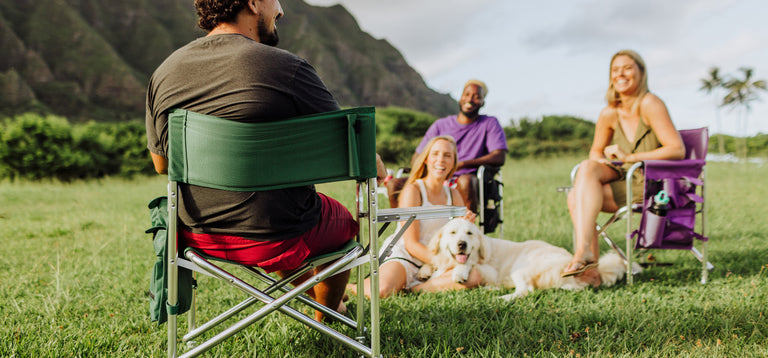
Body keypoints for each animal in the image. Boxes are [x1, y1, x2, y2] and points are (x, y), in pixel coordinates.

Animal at [420, 218, 636, 300]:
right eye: (453, 233)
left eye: (469, 233)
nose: (461, 244)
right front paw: (424, 270)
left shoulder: (487, 269)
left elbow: (468, 264)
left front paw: (460, 271)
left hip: (522, 266)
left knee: (525, 290)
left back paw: (500, 297)